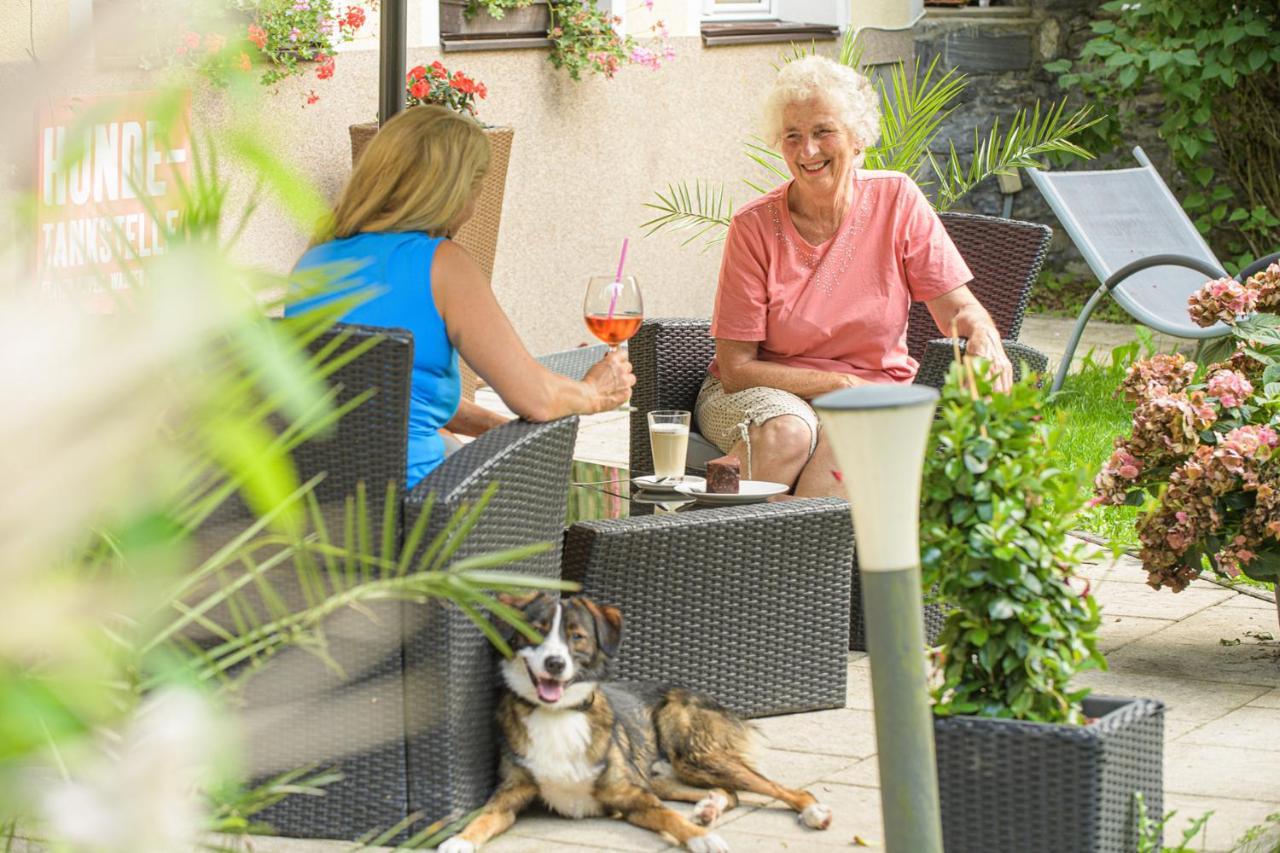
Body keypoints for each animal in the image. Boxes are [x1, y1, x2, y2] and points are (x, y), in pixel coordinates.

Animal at [440, 591, 834, 850]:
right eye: (535, 631)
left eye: (577, 637)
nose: (555, 663)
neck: (559, 713)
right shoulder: (509, 795)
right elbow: (483, 817)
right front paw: (459, 840)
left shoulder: (633, 795)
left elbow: (671, 818)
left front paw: (703, 839)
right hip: (663, 775)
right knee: (729, 793)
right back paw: (708, 808)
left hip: (693, 753)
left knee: (780, 788)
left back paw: (812, 811)